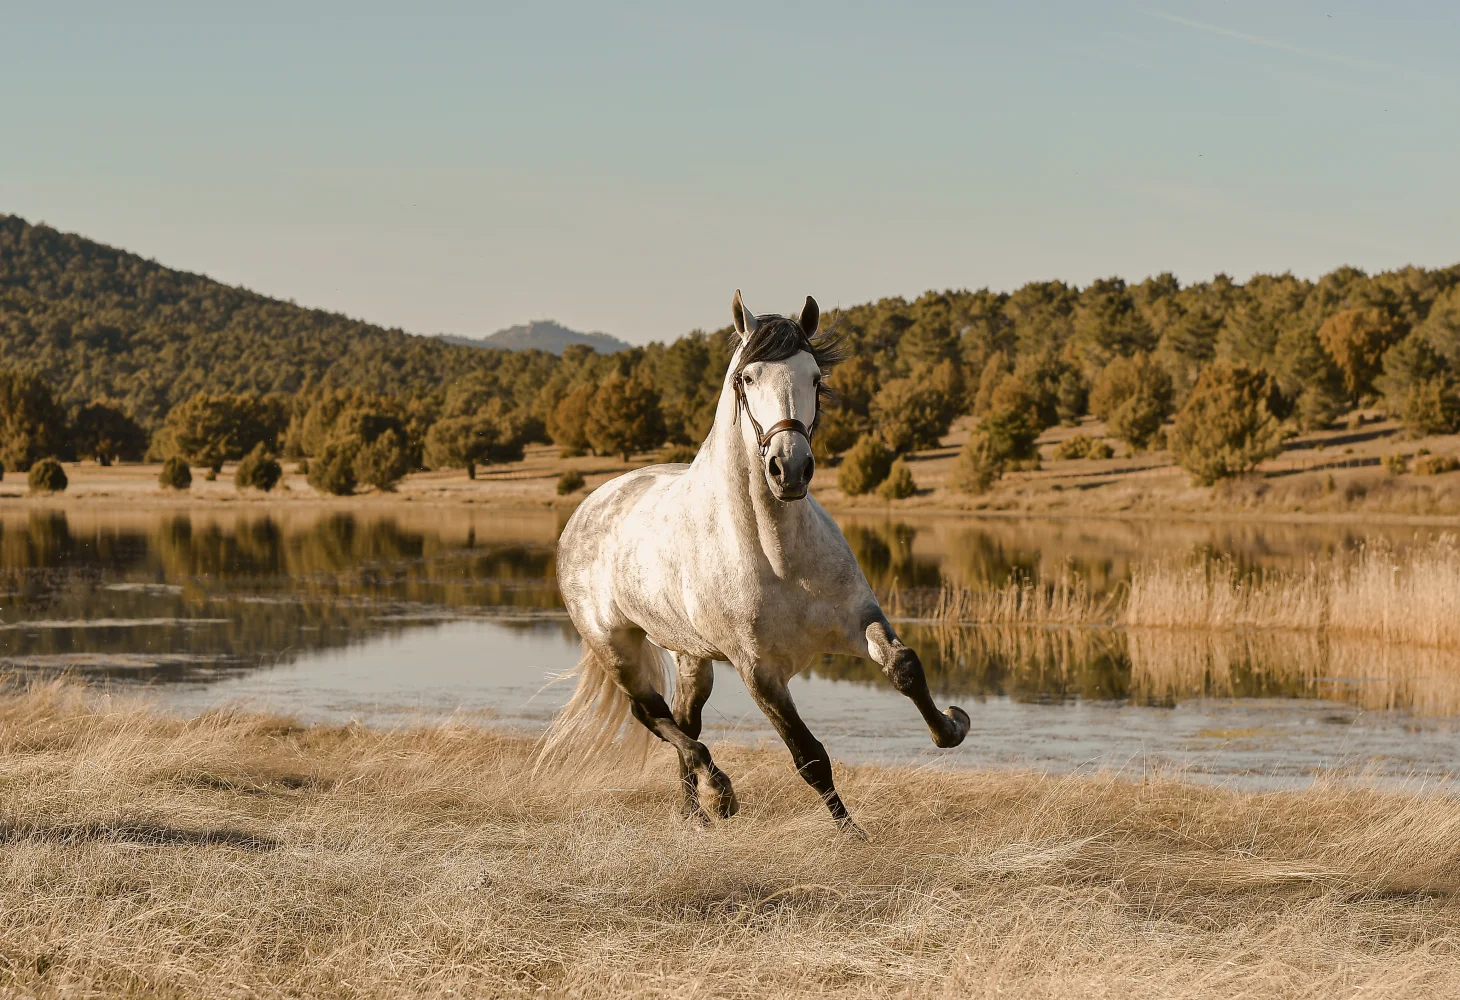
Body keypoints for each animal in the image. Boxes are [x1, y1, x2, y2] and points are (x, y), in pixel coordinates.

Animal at [543, 290, 969, 831]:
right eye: (746, 378)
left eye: (815, 376)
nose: (790, 468)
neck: (778, 555)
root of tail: (586, 509)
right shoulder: (760, 672)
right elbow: (810, 757)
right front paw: (853, 837)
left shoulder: (857, 621)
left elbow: (905, 666)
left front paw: (951, 726)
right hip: (615, 648)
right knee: (652, 715)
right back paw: (718, 792)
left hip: (691, 656)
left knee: (683, 719)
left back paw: (696, 815)